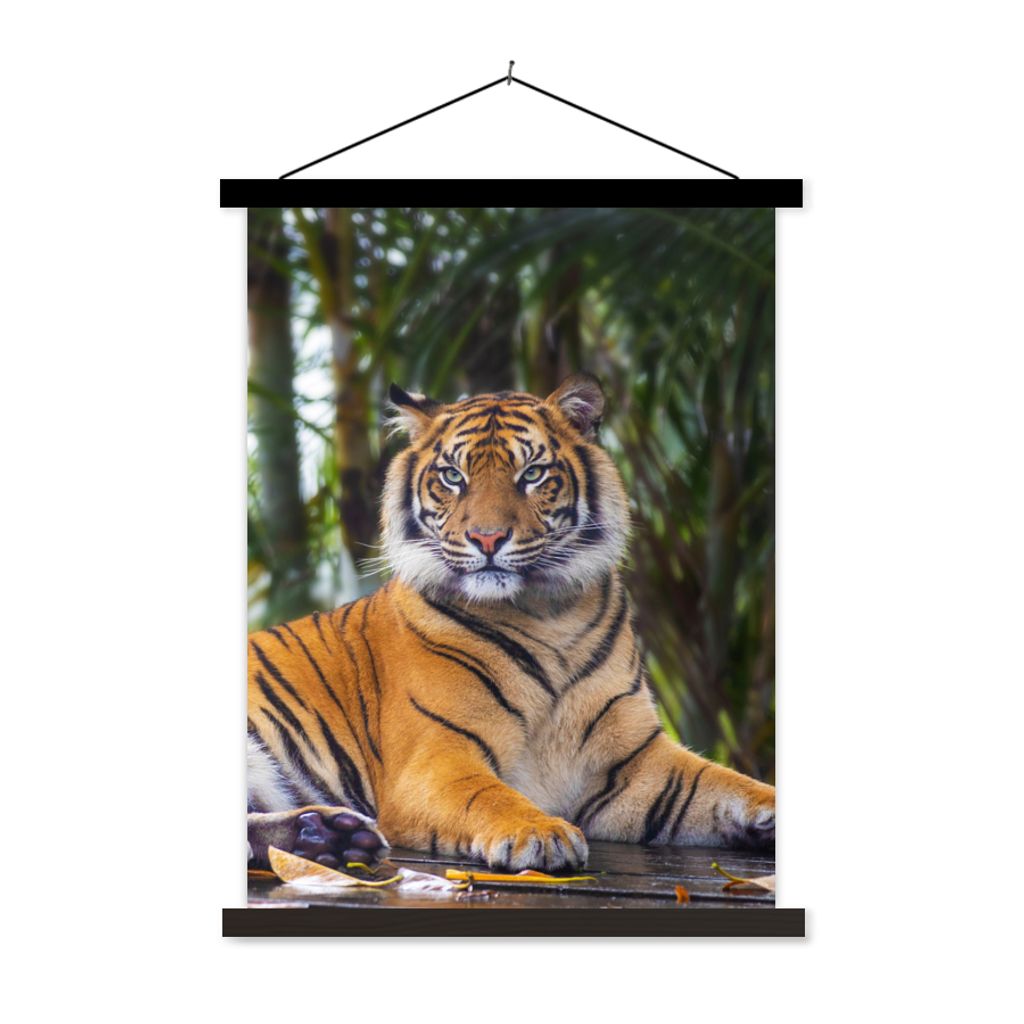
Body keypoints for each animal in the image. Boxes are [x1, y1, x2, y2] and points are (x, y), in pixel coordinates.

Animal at [247, 373, 775, 872]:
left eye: (533, 474)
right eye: (453, 476)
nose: (487, 538)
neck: (549, 616)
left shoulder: (635, 761)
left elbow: (725, 781)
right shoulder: (437, 757)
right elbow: (488, 794)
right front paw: (541, 832)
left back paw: (326, 837)